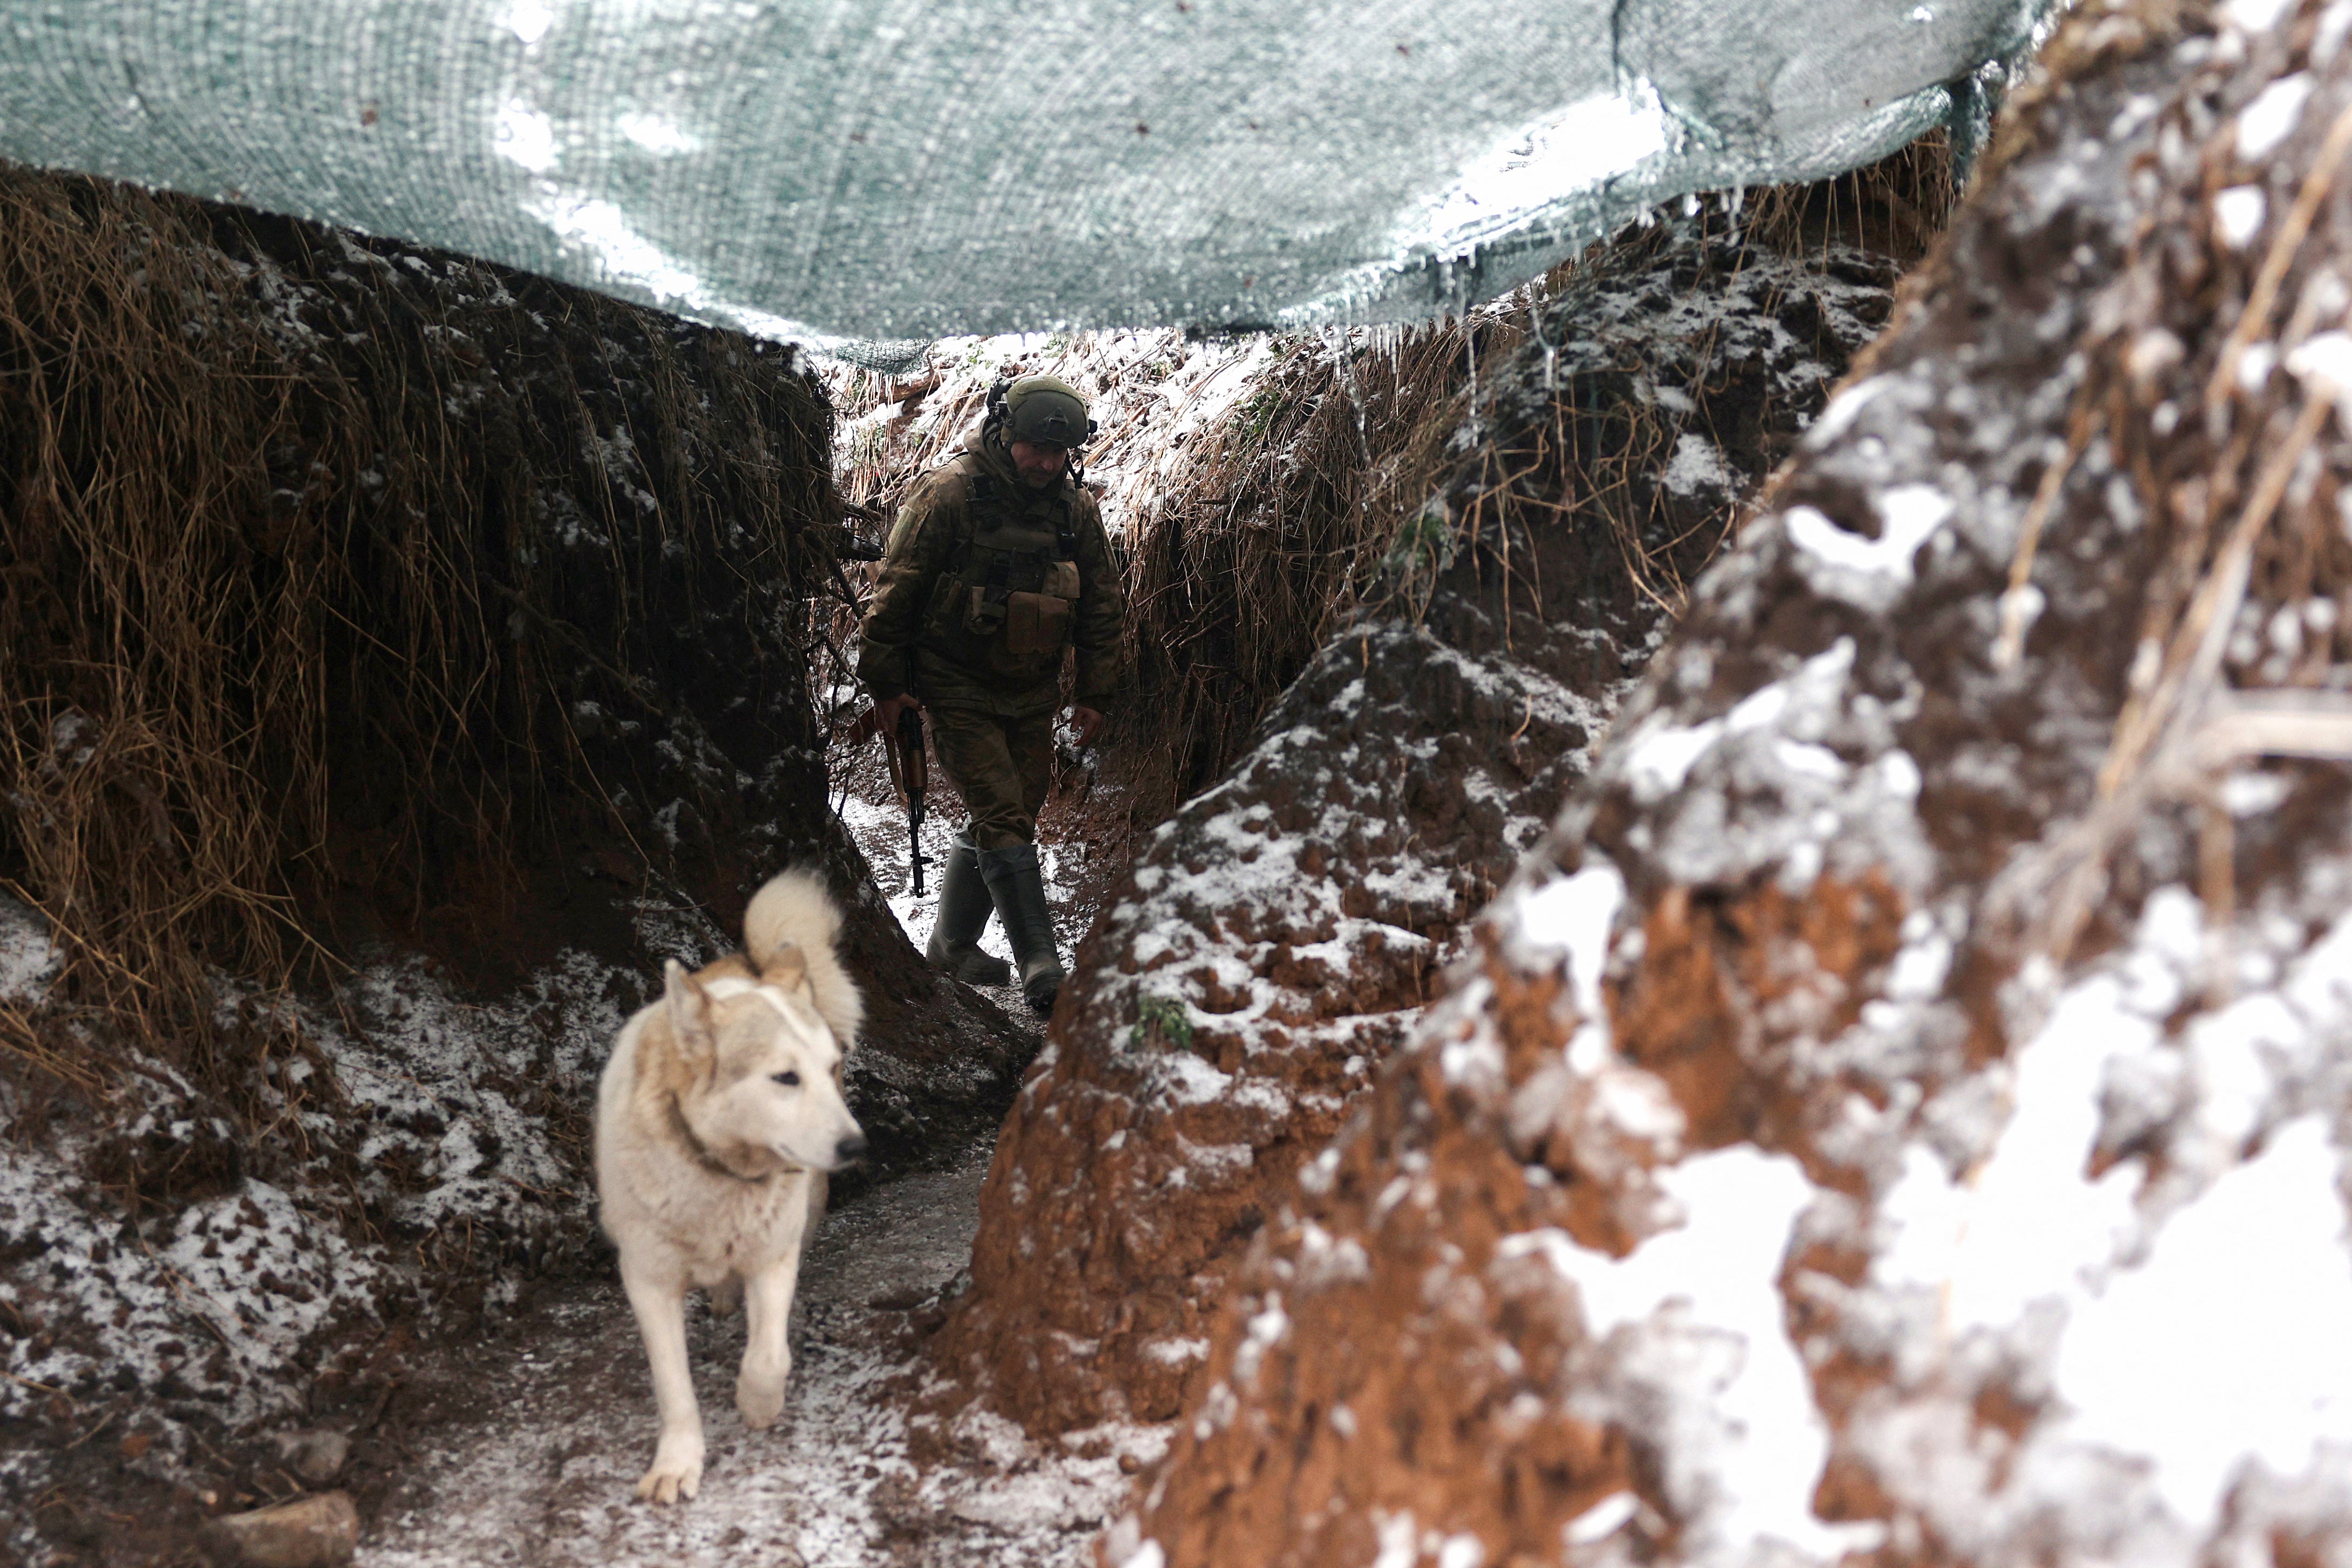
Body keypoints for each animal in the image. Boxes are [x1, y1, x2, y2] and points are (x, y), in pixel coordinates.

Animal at [592, 869, 870, 1504]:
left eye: (827, 1069)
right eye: (785, 1077)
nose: (855, 1146)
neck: (717, 1177)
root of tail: (753, 961)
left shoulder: (775, 1255)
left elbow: (768, 1354)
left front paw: (757, 1404)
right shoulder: (648, 1282)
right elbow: (674, 1390)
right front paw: (677, 1463)